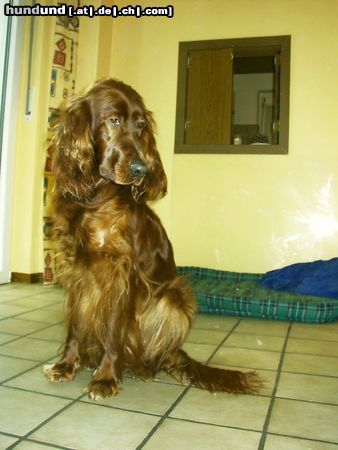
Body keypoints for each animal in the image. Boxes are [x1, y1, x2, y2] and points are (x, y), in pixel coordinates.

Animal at [43, 79, 262, 400]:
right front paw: (66, 365)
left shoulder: (124, 275)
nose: (141, 169)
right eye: (114, 120)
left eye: (141, 126)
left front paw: (106, 378)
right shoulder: (76, 272)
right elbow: (75, 324)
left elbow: (114, 331)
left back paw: (141, 367)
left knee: (159, 354)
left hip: (174, 299)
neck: (95, 199)